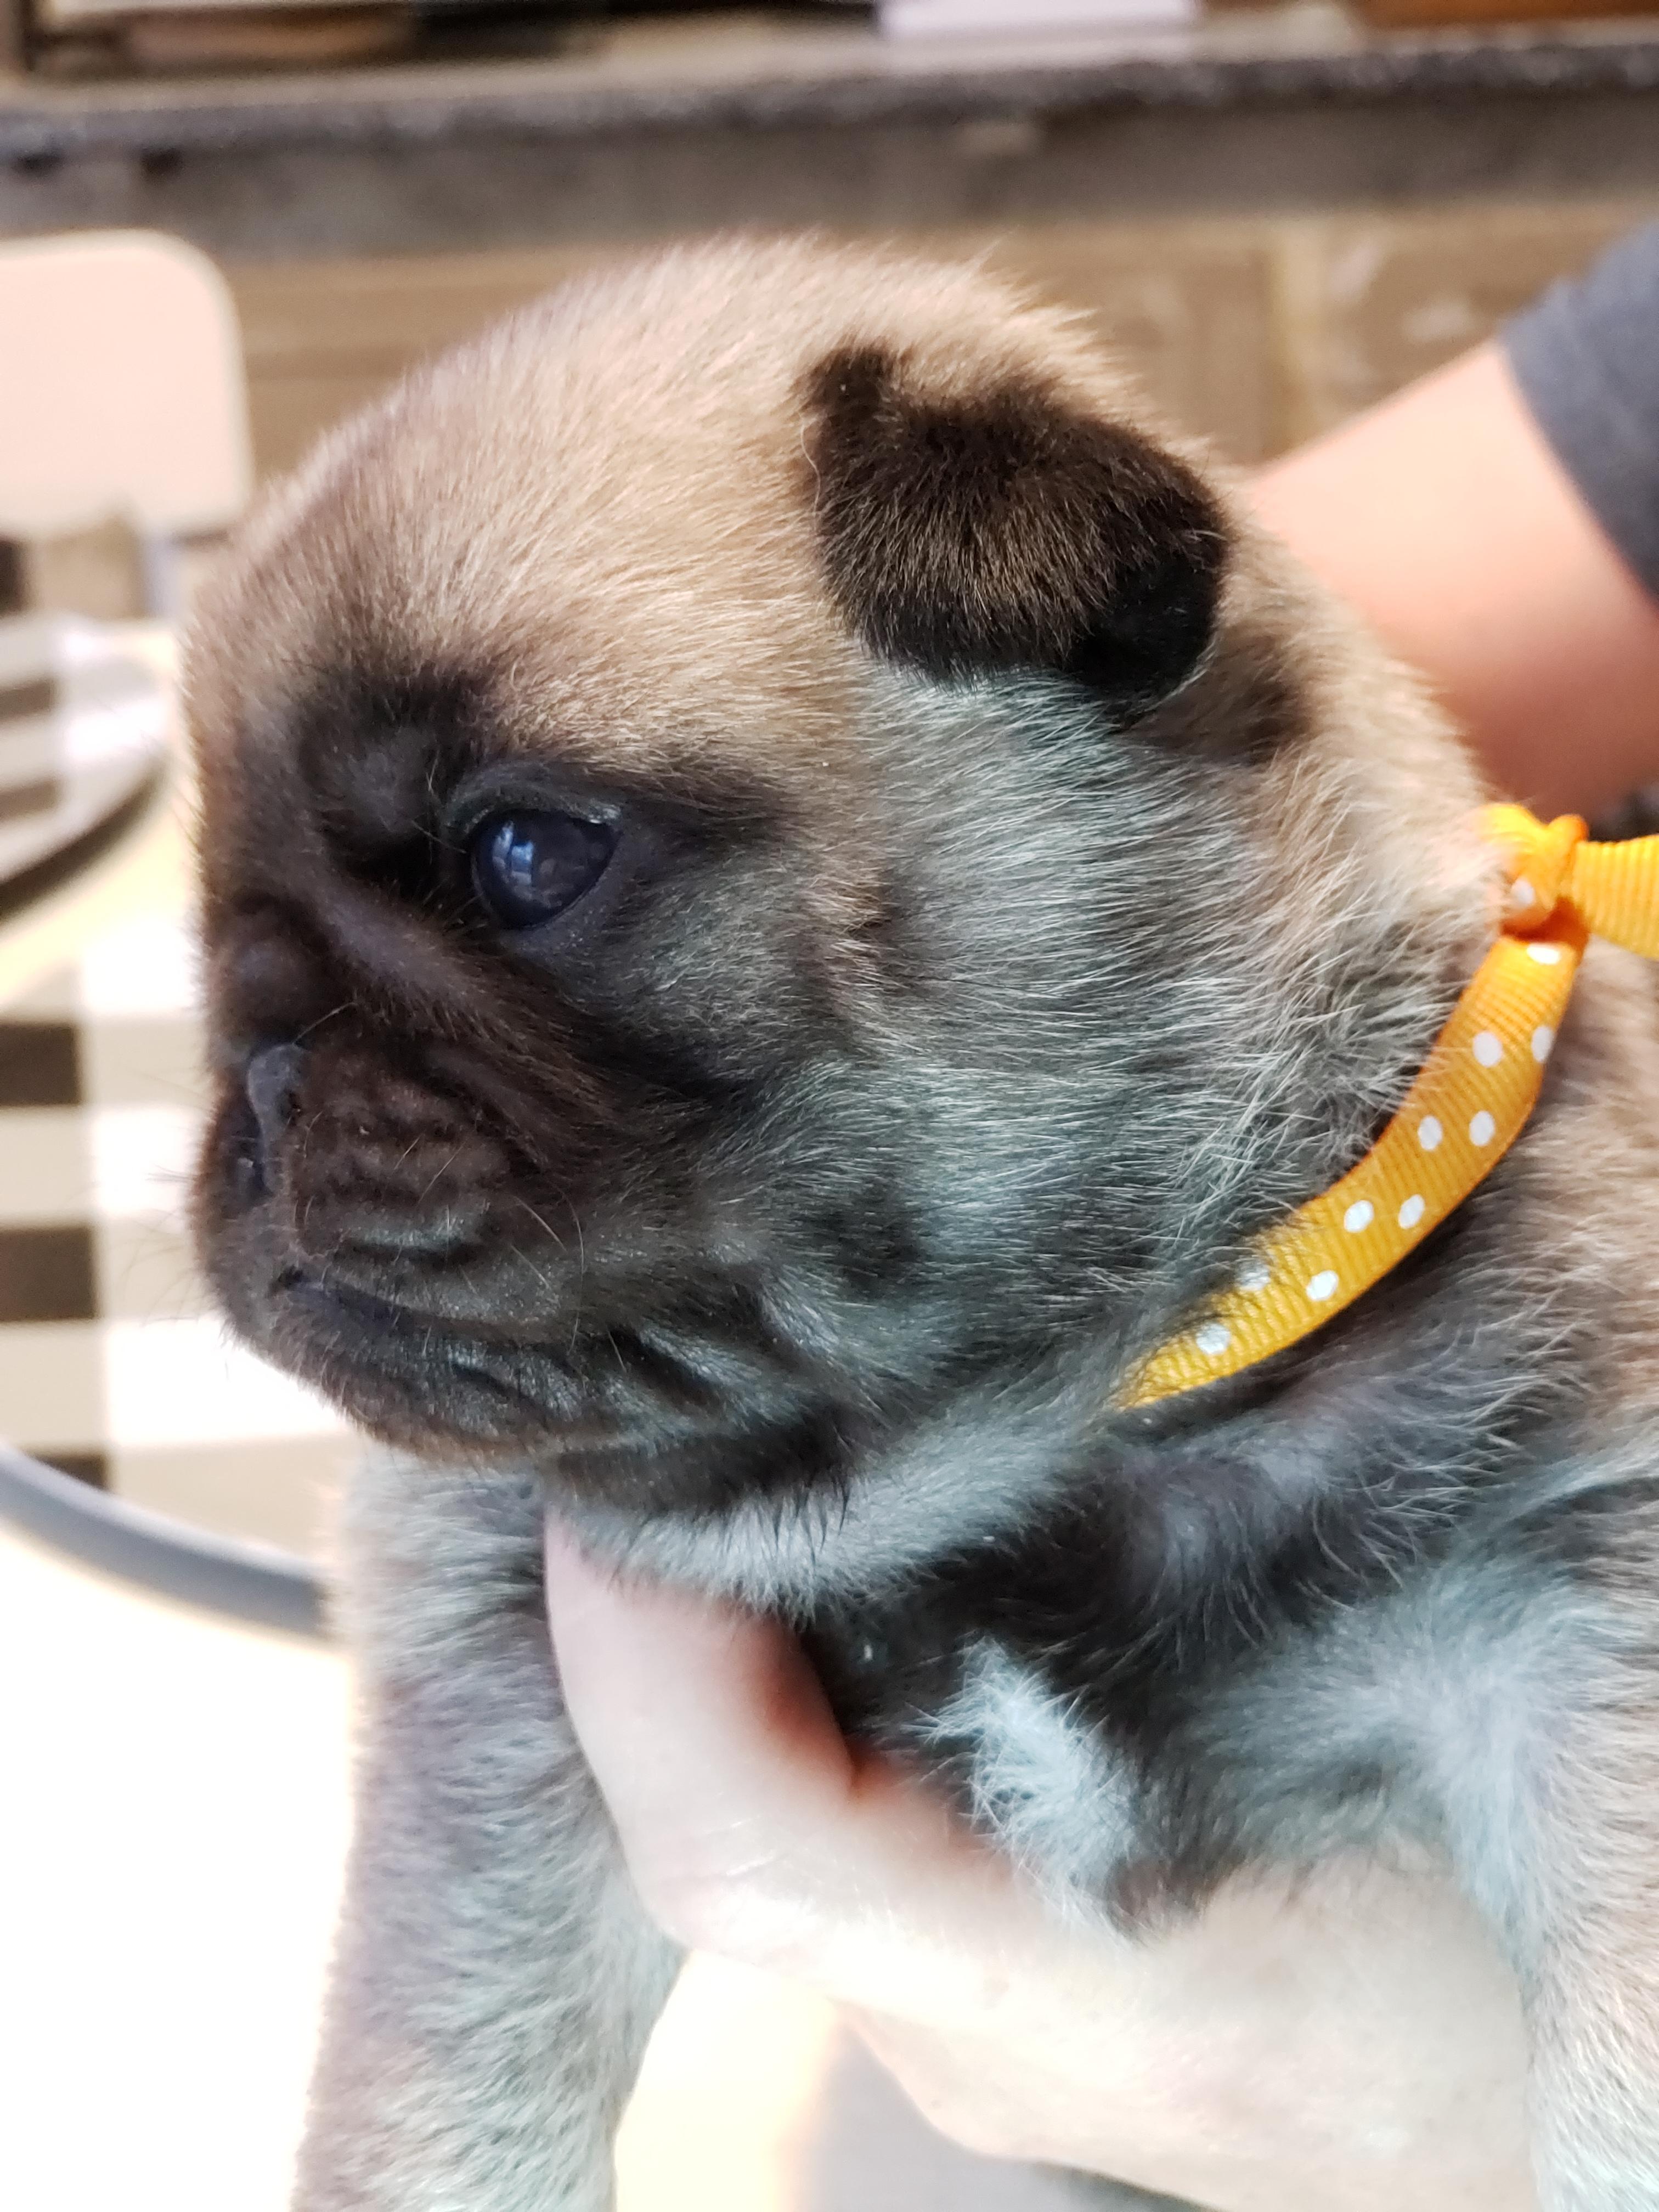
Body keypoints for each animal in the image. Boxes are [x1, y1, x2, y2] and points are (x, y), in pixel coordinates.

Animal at [187, 237, 1659, 2211]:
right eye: (214, 924)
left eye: (527, 855)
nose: (260, 1059)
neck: (1054, 1429)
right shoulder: (492, 1695)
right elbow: (450, 2083)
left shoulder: (1567, 1626)